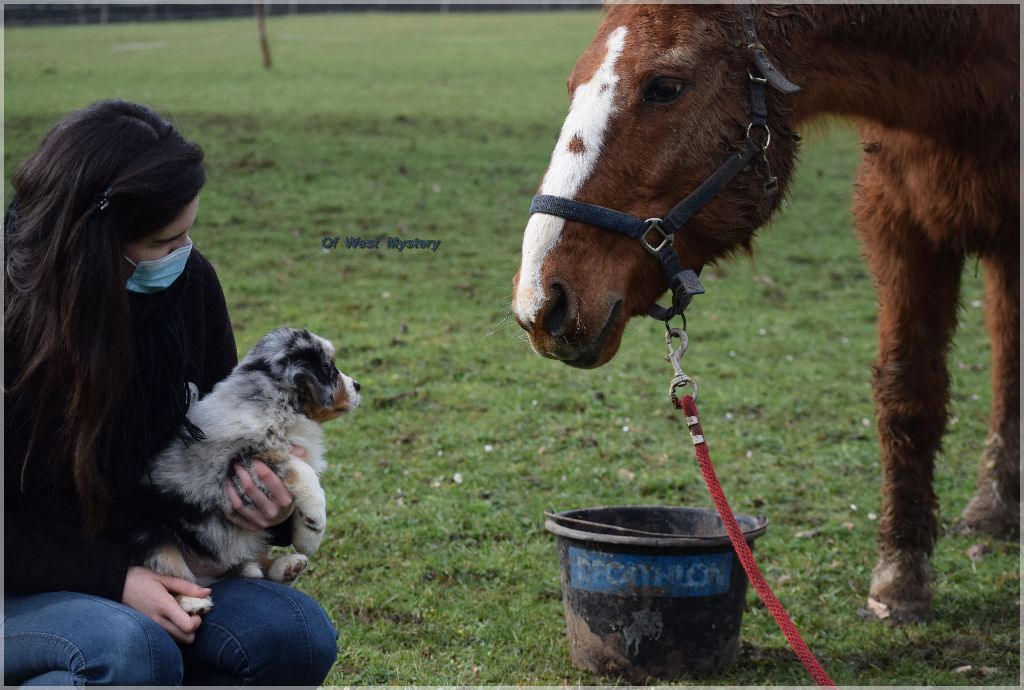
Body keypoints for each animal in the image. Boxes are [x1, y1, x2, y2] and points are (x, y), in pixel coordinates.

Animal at [131, 327, 360, 614]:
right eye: (330, 369)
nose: (358, 386)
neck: (276, 400)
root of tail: (210, 575)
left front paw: (308, 537)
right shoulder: (237, 464)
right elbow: (301, 469)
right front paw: (317, 520)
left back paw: (286, 566)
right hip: (152, 532)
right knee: (169, 568)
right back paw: (193, 601)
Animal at [512, 4, 1015, 618]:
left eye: (665, 87)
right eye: (572, 84)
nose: (541, 300)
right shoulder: (898, 216)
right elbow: (908, 394)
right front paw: (902, 573)